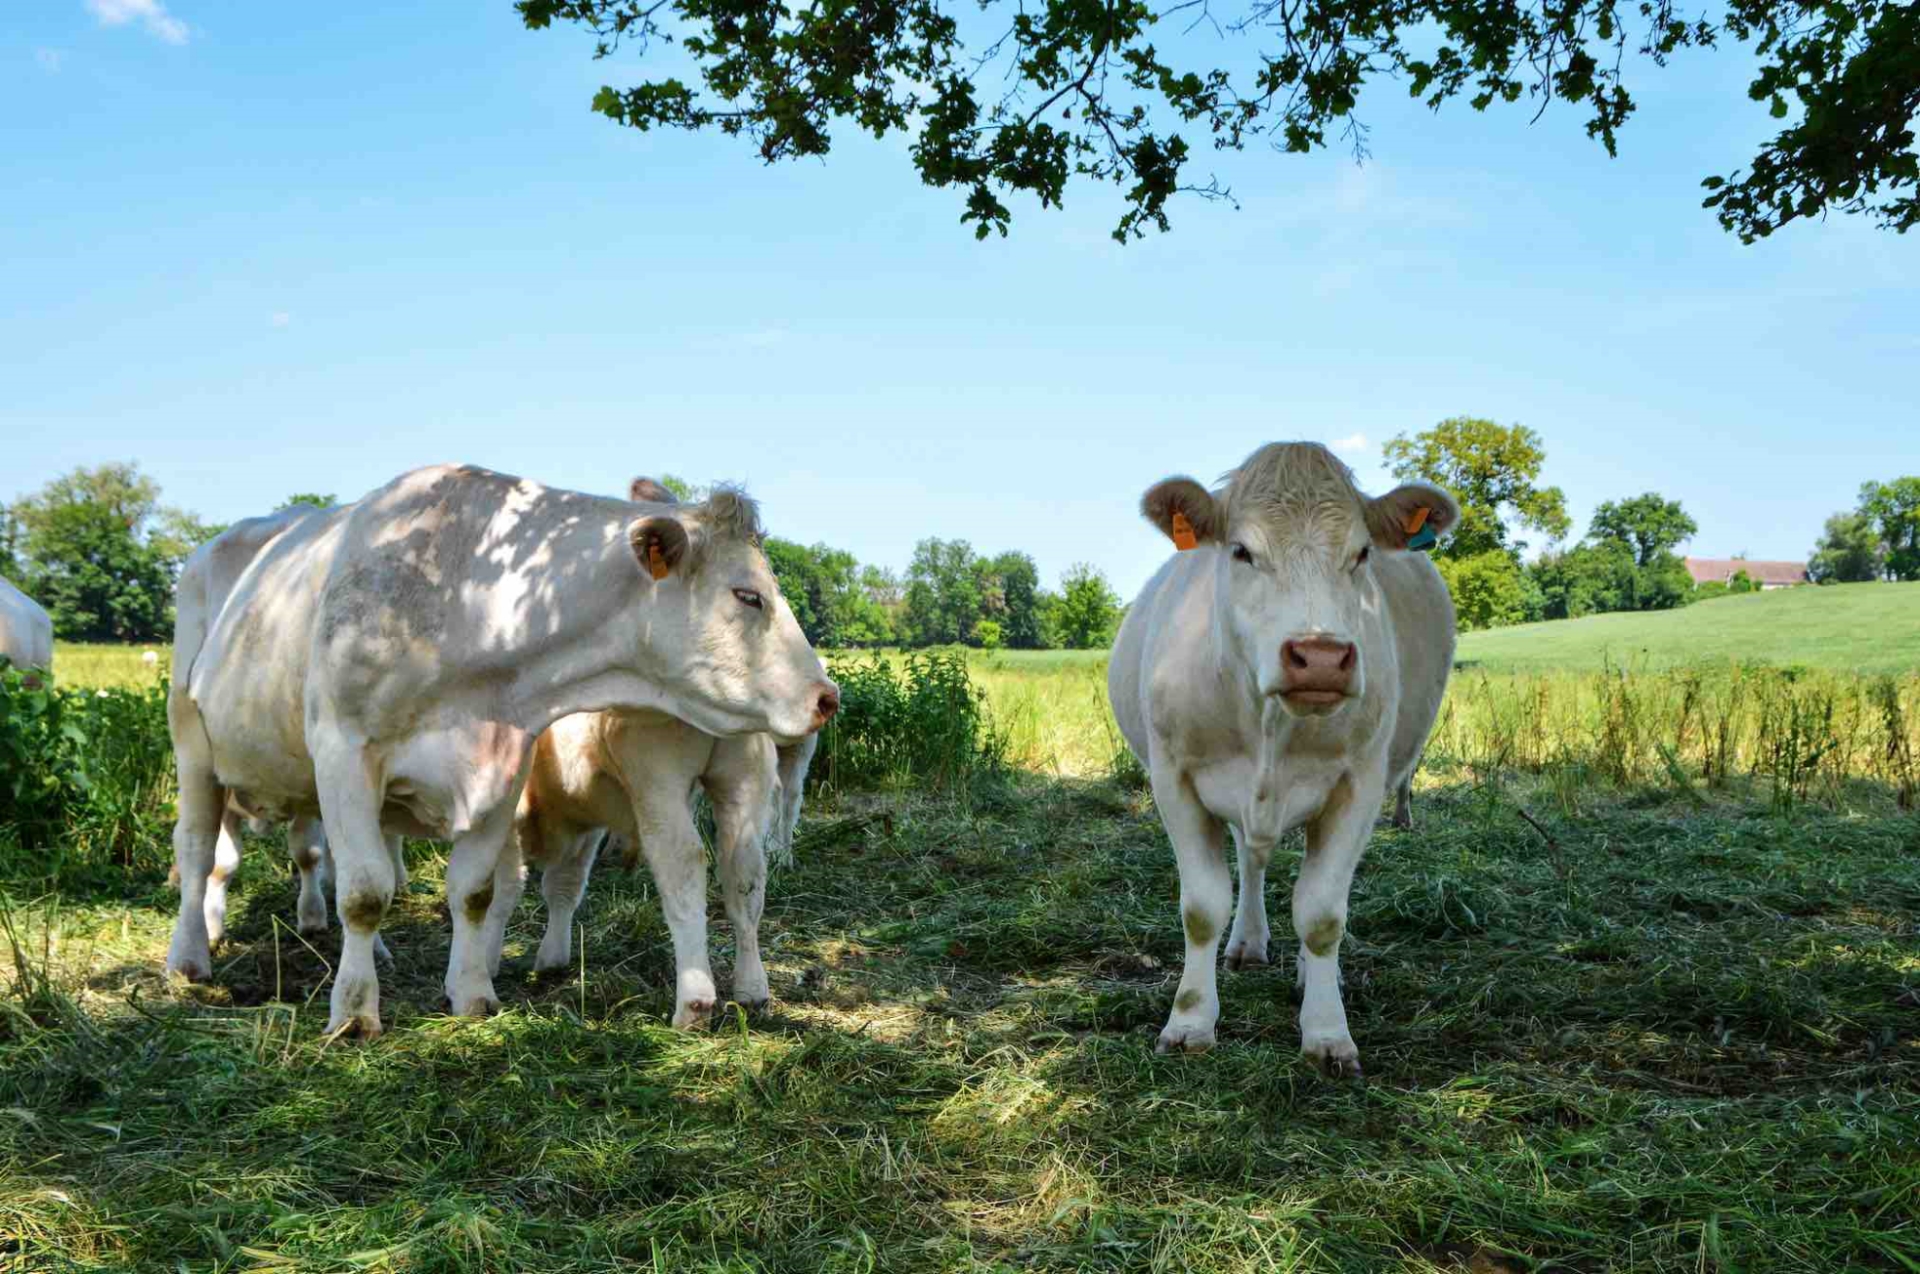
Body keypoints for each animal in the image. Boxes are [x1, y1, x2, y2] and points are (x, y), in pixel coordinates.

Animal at [170, 462, 840, 1043]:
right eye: (748, 595)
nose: (828, 696)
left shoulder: (504, 768)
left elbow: (473, 889)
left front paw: (470, 994)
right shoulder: (344, 749)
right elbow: (364, 892)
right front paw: (355, 1013)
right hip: (192, 744)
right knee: (200, 854)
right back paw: (190, 954)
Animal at [1113, 441, 1451, 1074]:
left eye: (1361, 553)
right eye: (1242, 551)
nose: (1320, 656)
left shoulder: (1360, 785)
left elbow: (1322, 915)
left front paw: (1327, 1031)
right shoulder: (1174, 779)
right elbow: (1202, 907)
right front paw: (1190, 1021)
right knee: (1251, 861)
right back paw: (1247, 942)